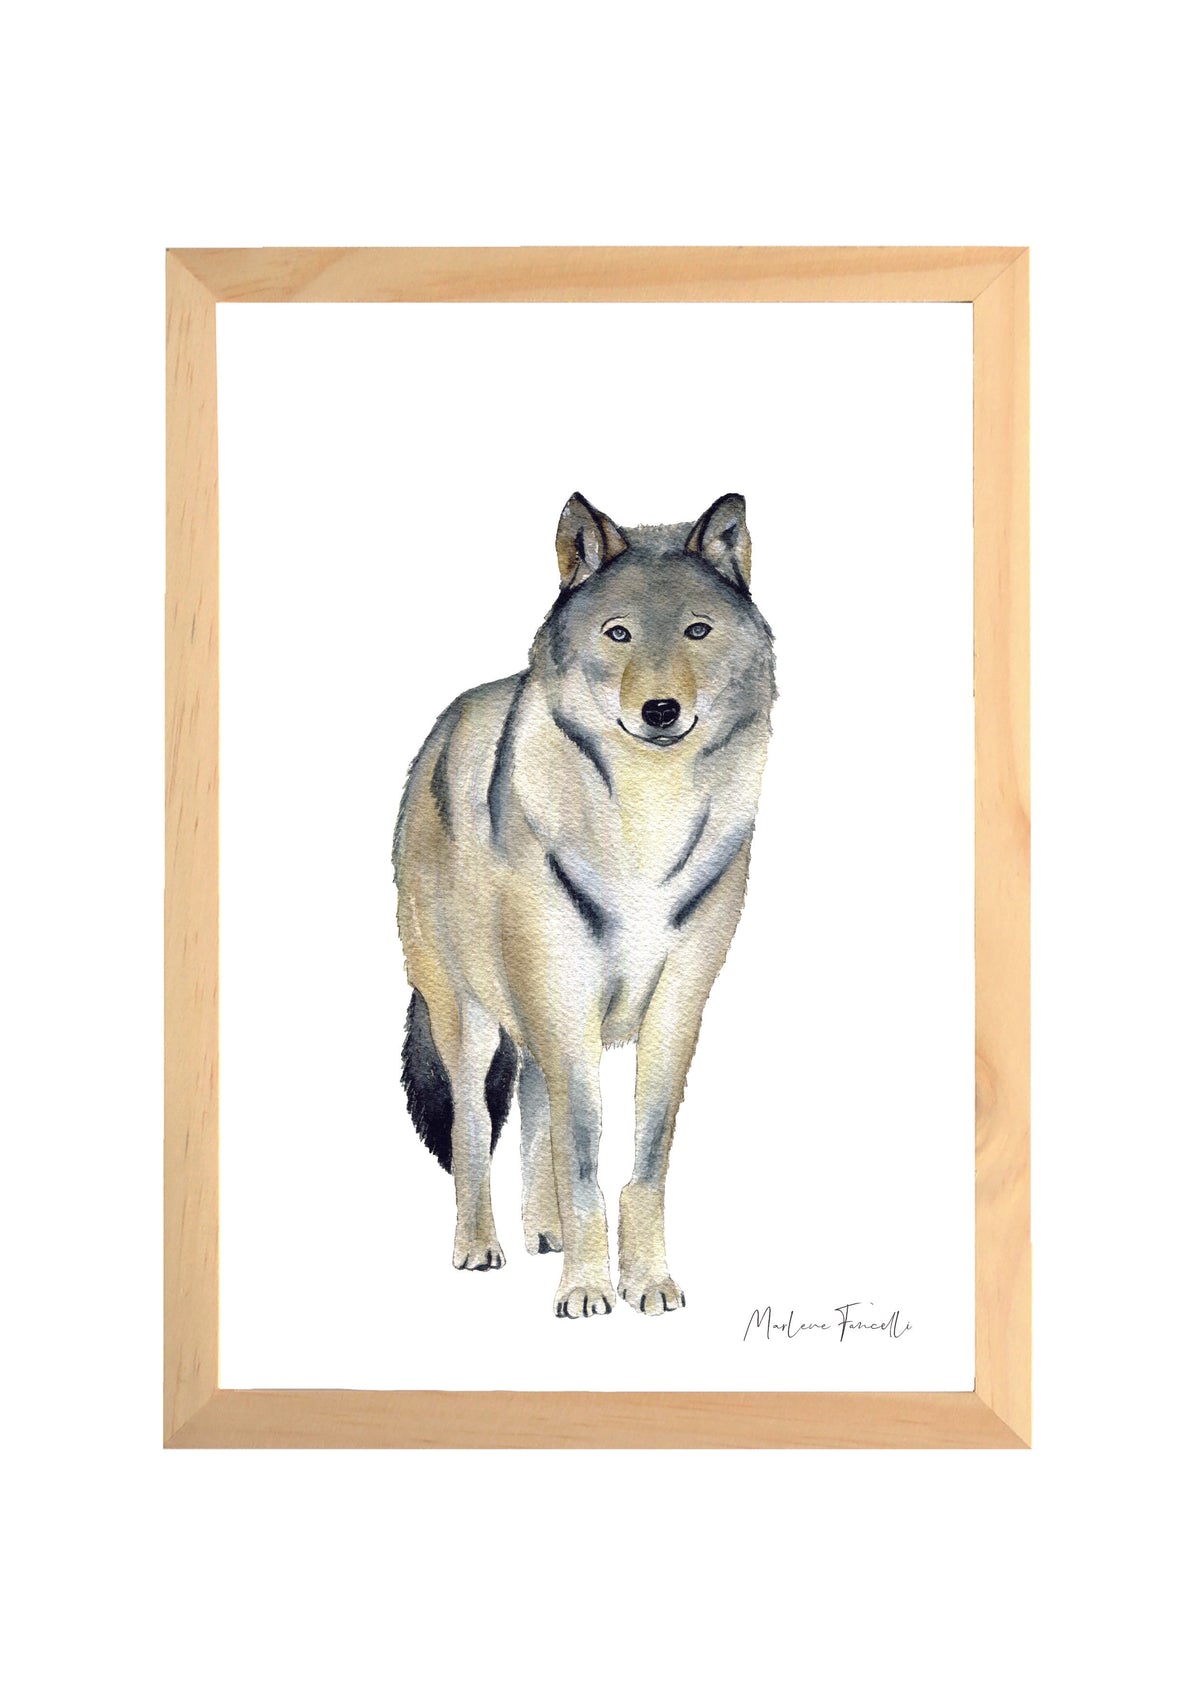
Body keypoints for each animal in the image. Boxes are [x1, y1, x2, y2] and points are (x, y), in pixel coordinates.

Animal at [392, 492, 774, 1318]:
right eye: (618, 632)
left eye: (698, 630)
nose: (660, 709)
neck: (646, 822)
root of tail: (447, 723)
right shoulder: (564, 1002)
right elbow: (582, 1154)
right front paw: (589, 1287)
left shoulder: (676, 1005)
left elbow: (642, 1158)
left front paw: (649, 1280)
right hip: (467, 1015)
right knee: (476, 1126)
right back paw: (482, 1244)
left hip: (532, 1021)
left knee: (534, 1101)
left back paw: (546, 1232)